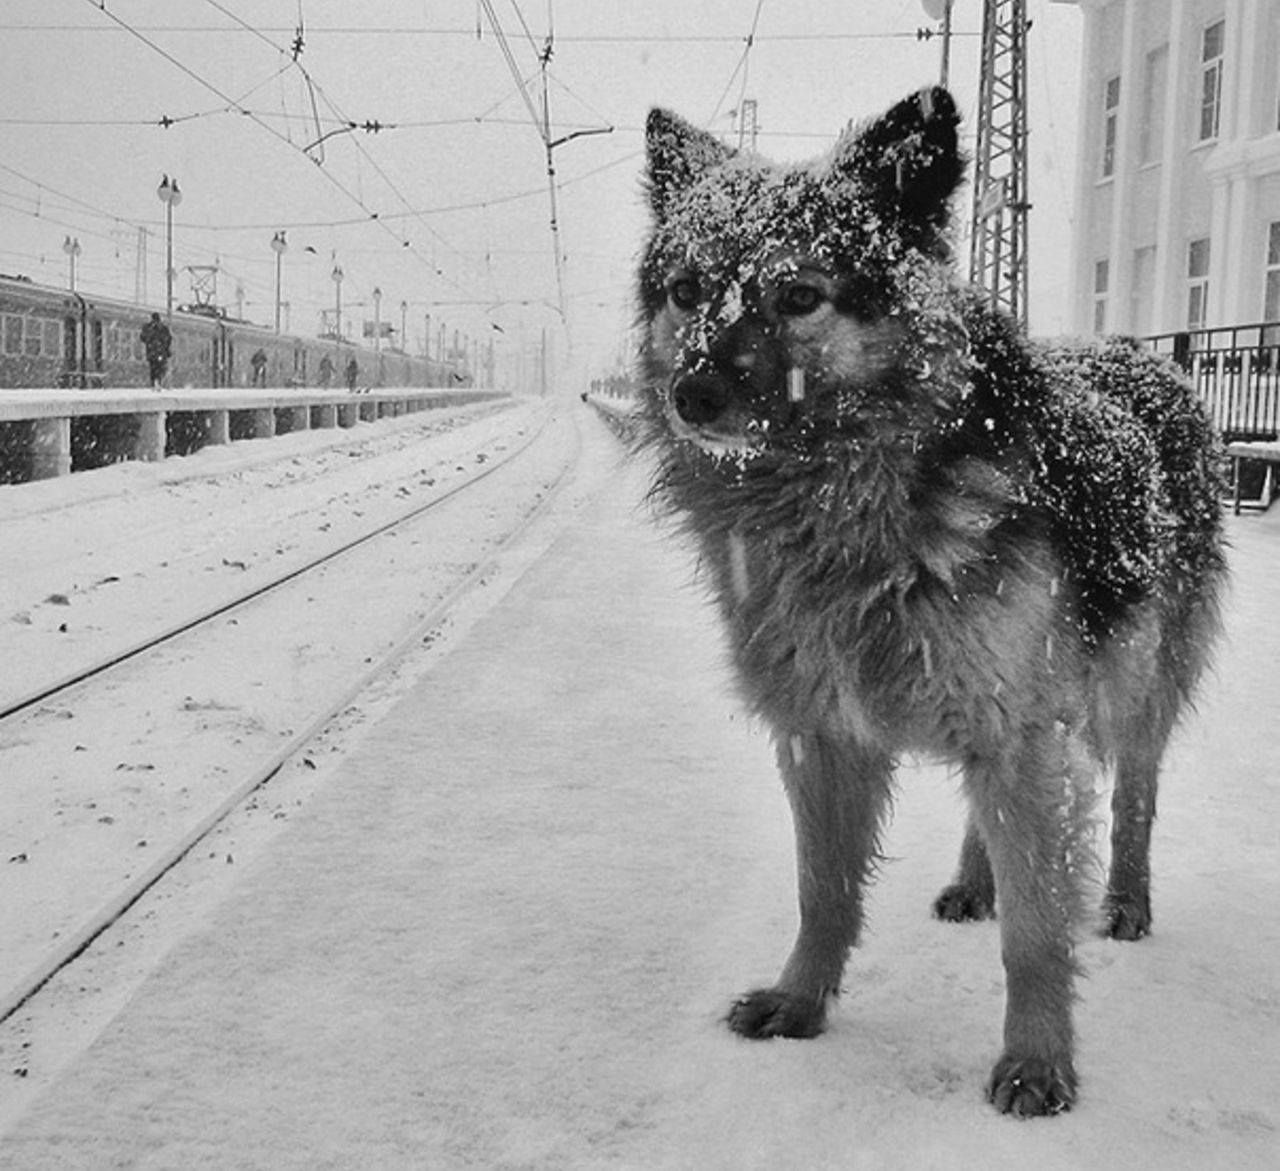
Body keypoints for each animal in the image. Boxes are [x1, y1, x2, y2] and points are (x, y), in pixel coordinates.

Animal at [634, 87, 1223, 1110]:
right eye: (688, 289)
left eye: (800, 296)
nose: (692, 395)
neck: (846, 502)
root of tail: (1146, 362)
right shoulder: (822, 731)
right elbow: (823, 890)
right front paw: (801, 1000)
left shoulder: (1022, 720)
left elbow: (1037, 929)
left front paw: (1038, 1060)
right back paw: (975, 880)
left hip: (1130, 683)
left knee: (1135, 795)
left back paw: (1125, 898)